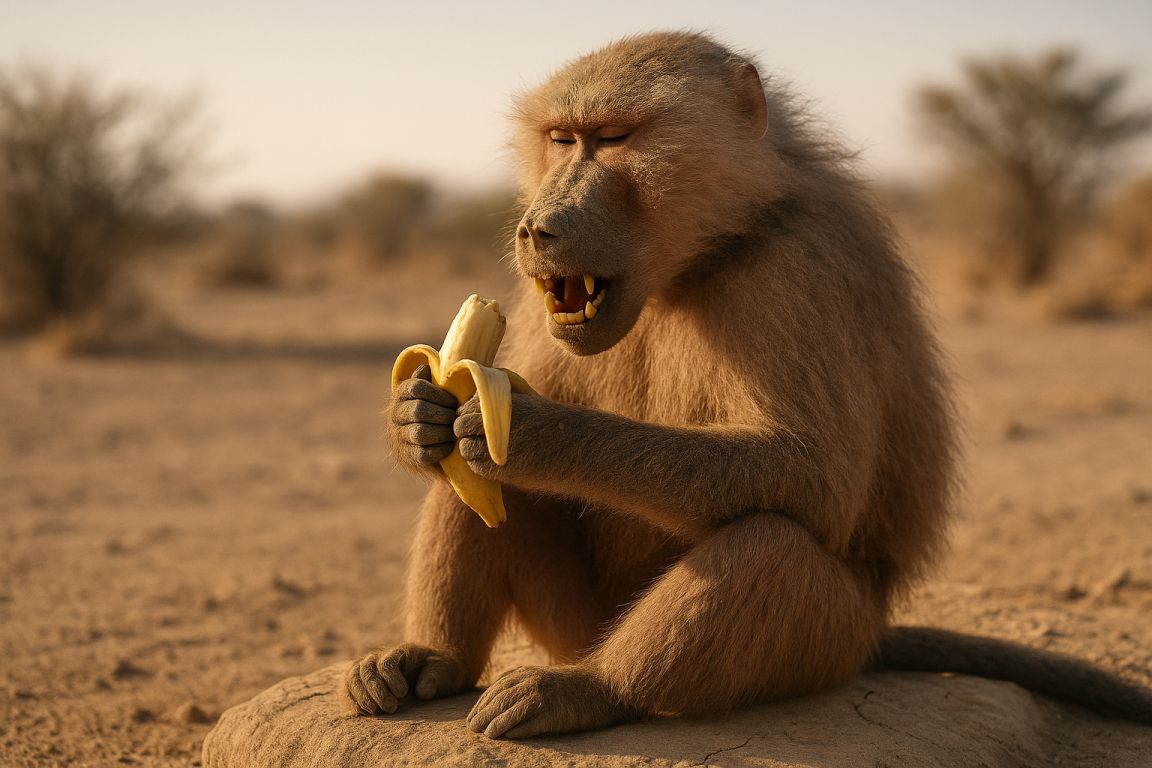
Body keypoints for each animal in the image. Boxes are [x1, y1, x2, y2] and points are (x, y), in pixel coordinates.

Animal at [344, 31, 1152, 738]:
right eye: (561, 139)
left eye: (614, 137)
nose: (537, 229)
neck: (695, 261)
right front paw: (414, 419)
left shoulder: (798, 268)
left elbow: (813, 477)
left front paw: (534, 432)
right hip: (575, 619)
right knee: (468, 489)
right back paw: (431, 661)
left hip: (832, 639)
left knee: (771, 543)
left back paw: (587, 691)